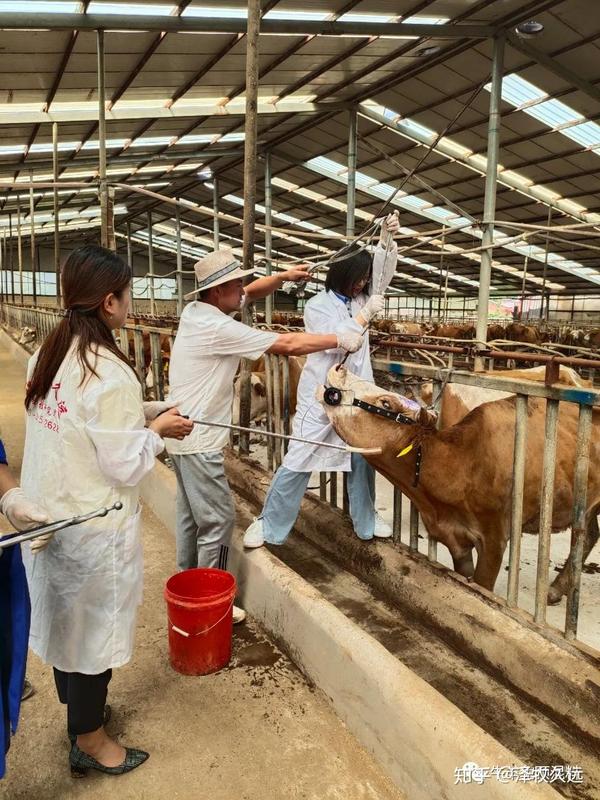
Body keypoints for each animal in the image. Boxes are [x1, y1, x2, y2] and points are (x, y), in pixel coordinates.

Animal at [318, 366, 600, 604]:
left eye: (385, 402)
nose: (340, 368)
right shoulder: (454, 539)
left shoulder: (495, 538)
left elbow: (482, 585)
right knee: (589, 534)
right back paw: (558, 588)